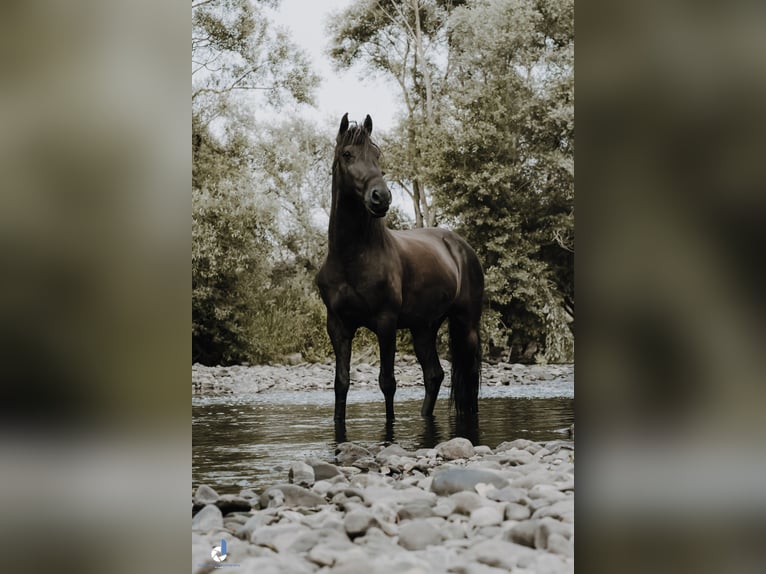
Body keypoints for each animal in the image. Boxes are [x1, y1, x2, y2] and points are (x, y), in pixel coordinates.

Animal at [316, 115, 484, 426]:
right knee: (434, 375)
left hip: (466, 324)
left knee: (469, 379)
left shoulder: (386, 322)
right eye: (348, 154)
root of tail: (461, 247)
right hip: (424, 328)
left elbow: (387, 382)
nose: (381, 197)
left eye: (377, 154)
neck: (351, 258)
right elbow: (341, 383)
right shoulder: (338, 326)